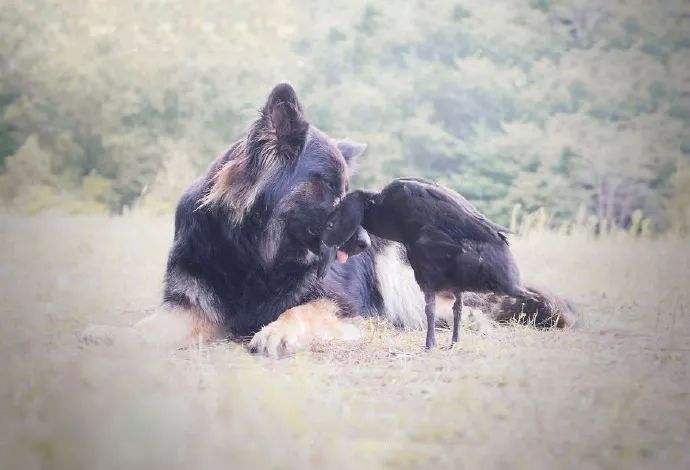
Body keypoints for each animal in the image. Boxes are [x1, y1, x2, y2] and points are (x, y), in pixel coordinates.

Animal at [136, 84, 576, 356]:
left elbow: (301, 311)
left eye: (347, 191)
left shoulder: (339, 302)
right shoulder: (190, 305)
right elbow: (148, 327)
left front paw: (278, 331)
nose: (364, 242)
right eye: (326, 188)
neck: (255, 260)